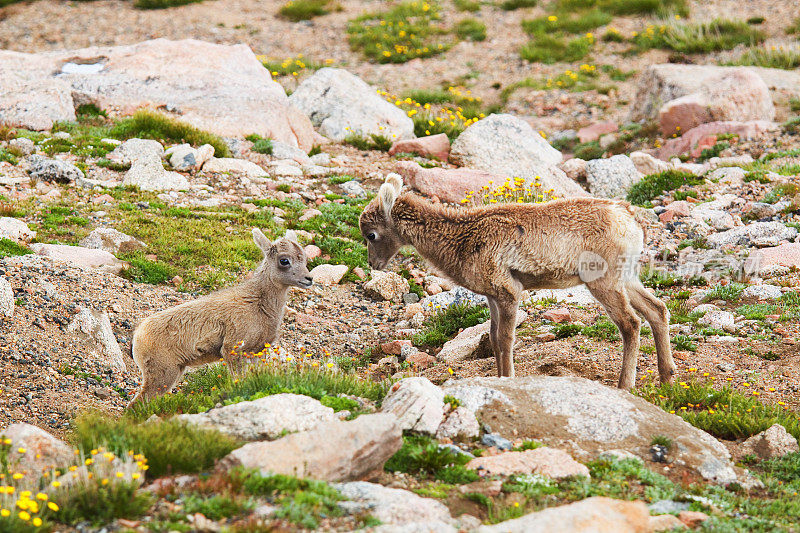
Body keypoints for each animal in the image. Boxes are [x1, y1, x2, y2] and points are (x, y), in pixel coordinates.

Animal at [129, 229, 312, 404]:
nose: (309, 279)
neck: (258, 304)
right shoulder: (232, 350)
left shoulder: (255, 352)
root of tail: (138, 336)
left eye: (304, 259)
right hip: (163, 374)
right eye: (284, 260)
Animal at [362, 175, 676, 386]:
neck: (461, 239)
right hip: (627, 279)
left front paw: (509, 378)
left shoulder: (509, 292)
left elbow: (505, 339)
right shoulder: (492, 297)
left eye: (371, 234)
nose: (373, 264)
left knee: (631, 323)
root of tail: (630, 219)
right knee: (657, 310)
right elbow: (493, 338)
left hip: (604, 282)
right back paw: (667, 379)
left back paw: (625, 386)